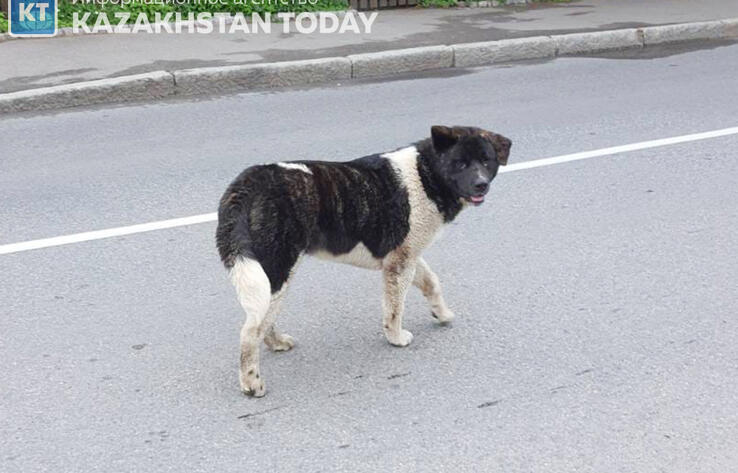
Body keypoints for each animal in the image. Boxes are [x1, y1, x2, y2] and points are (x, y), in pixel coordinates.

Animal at [216, 126, 511, 396]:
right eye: (460, 163)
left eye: (486, 160)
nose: (481, 184)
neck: (426, 174)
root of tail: (246, 184)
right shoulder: (399, 263)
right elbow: (394, 309)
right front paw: (396, 338)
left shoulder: (406, 254)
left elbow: (431, 282)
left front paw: (443, 314)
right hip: (277, 270)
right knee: (250, 331)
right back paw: (251, 383)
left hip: (271, 276)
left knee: (262, 321)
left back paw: (276, 343)